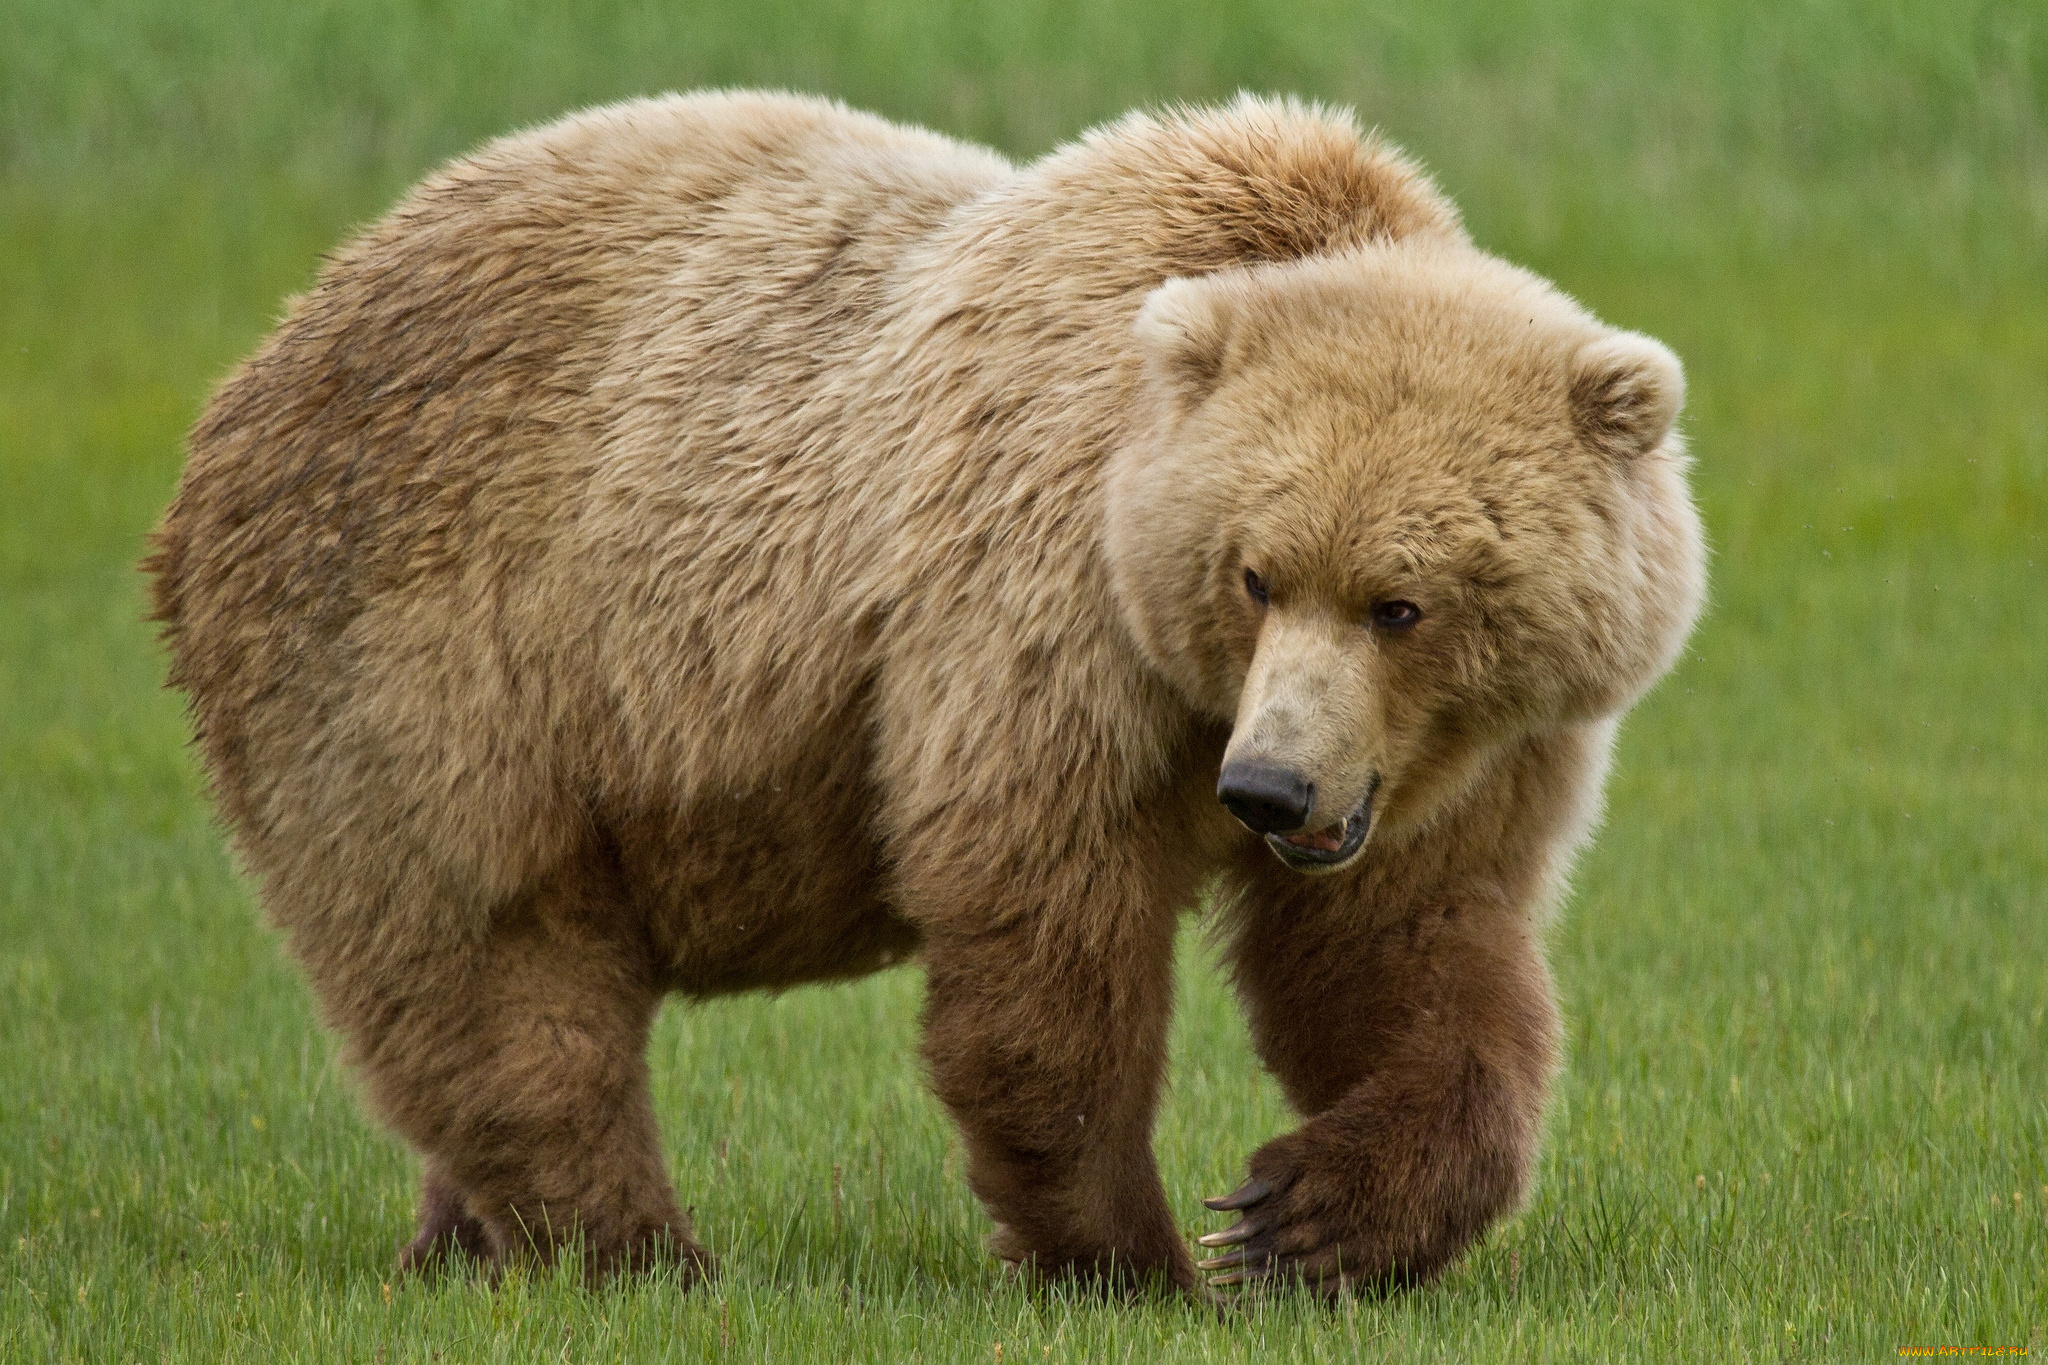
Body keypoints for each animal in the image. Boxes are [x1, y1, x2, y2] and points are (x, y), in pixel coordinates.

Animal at [144, 90, 1703, 1301]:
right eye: (1256, 574)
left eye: (1402, 602)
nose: (1266, 791)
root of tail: (266, 353)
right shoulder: (1038, 600)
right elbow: (1040, 922)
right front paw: (1135, 1258)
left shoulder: (1462, 753)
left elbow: (1410, 951)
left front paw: (1301, 1215)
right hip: (430, 651)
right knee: (496, 961)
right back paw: (636, 1251)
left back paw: (461, 1242)